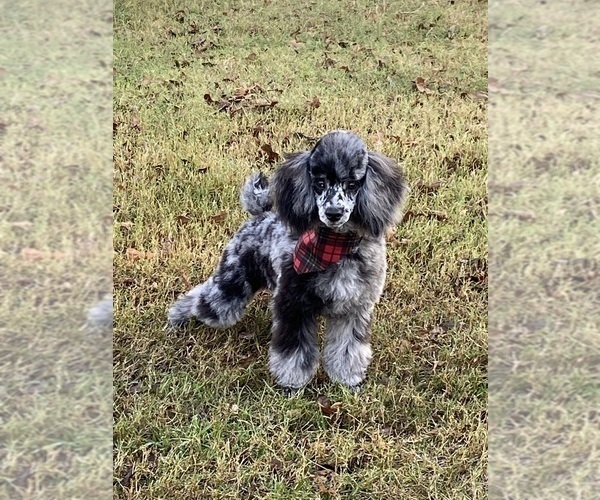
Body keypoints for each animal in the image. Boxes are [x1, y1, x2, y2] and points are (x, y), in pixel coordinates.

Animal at [171, 131, 410, 392]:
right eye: (319, 183)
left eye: (352, 184)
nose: (333, 213)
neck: (336, 245)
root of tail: (260, 215)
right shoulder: (293, 306)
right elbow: (293, 352)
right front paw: (292, 384)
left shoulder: (353, 309)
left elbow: (348, 349)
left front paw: (347, 379)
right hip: (232, 283)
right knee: (204, 299)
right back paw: (178, 316)